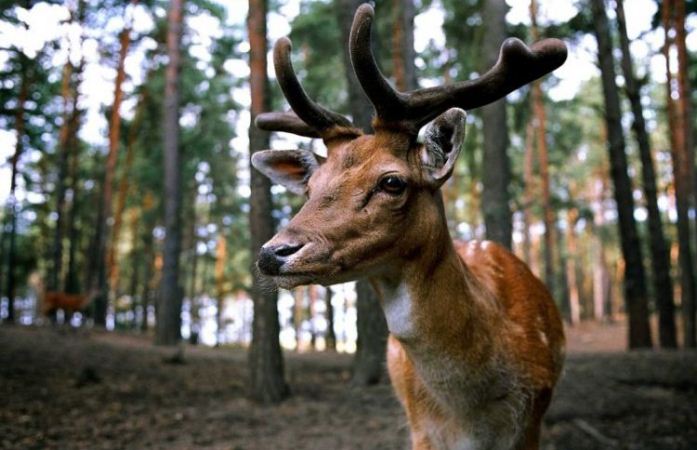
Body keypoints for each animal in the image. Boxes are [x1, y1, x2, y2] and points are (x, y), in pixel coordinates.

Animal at [250, 4, 564, 450]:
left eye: (392, 181)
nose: (273, 253)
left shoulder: (533, 418)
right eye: (310, 187)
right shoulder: (420, 429)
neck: (472, 417)